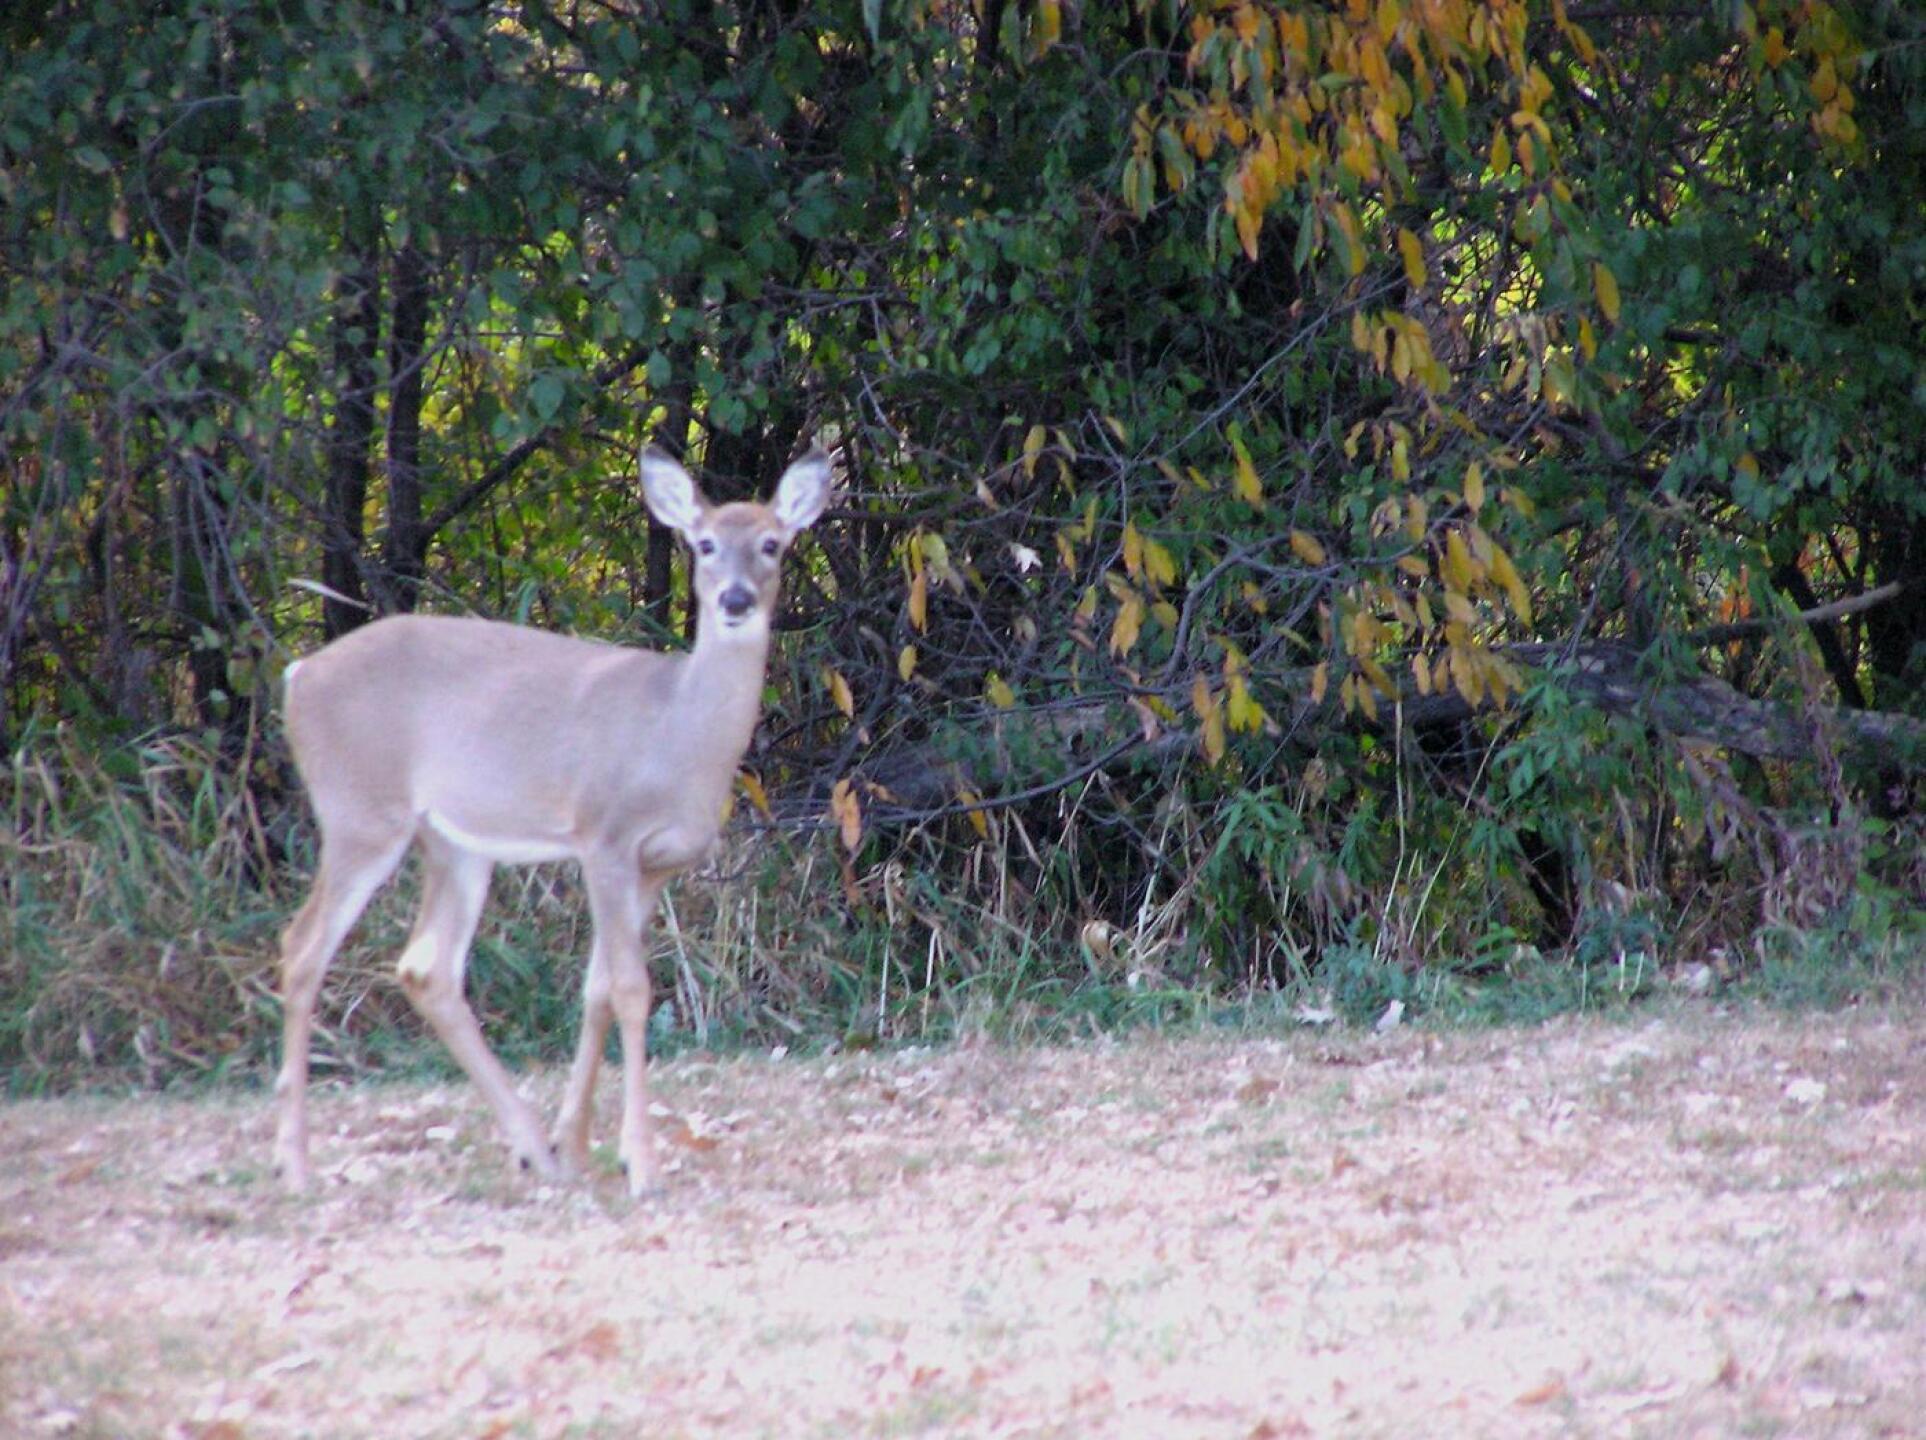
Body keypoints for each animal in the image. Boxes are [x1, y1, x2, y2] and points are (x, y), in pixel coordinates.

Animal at [271, 444, 834, 1198]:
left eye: (772, 544)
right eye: (705, 544)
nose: (736, 600)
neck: (676, 737)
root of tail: (297, 676)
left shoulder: (655, 866)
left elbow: (597, 989)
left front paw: (579, 1146)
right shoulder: (604, 835)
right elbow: (630, 989)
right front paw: (641, 1164)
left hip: (453, 842)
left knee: (427, 966)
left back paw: (531, 1147)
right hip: (360, 810)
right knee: (303, 947)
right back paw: (296, 1163)